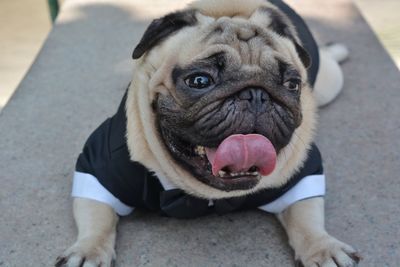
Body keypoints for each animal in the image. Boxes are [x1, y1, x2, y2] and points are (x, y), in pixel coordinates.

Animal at [55, 0, 360, 267]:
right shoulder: (101, 166)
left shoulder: (302, 172)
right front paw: (89, 250)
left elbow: (306, 216)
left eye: (292, 84)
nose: (256, 94)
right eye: (200, 80)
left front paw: (323, 247)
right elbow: (98, 216)